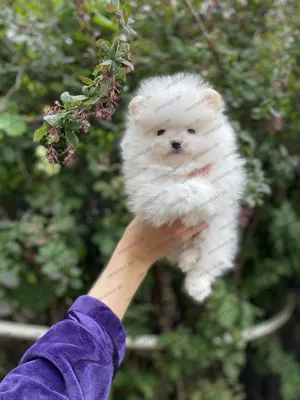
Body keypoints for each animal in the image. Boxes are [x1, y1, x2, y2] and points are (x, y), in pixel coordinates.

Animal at [119, 73, 246, 302]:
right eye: (160, 132)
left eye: (191, 130)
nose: (176, 142)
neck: (180, 168)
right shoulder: (145, 186)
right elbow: (168, 192)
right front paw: (184, 202)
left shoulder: (222, 177)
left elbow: (204, 190)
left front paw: (192, 208)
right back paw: (188, 260)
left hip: (216, 238)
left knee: (204, 266)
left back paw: (197, 287)